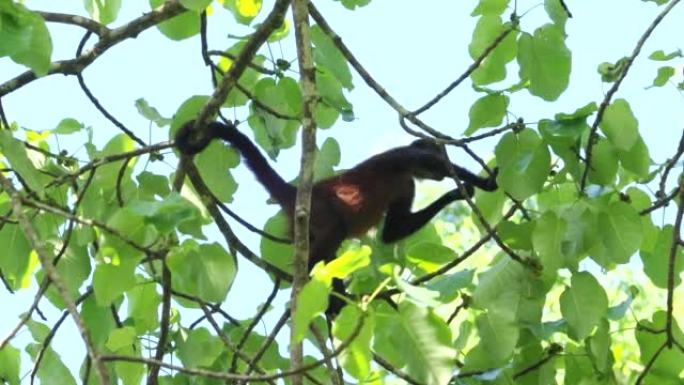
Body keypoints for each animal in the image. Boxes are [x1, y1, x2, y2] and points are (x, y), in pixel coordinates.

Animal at [176, 120, 496, 312]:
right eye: (441, 161)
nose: (442, 174)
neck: (409, 173)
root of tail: (298, 194)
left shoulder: (408, 185)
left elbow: (391, 232)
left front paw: (455, 195)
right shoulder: (404, 158)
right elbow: (430, 162)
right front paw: (484, 182)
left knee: (330, 253)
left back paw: (333, 299)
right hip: (322, 211)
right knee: (333, 236)